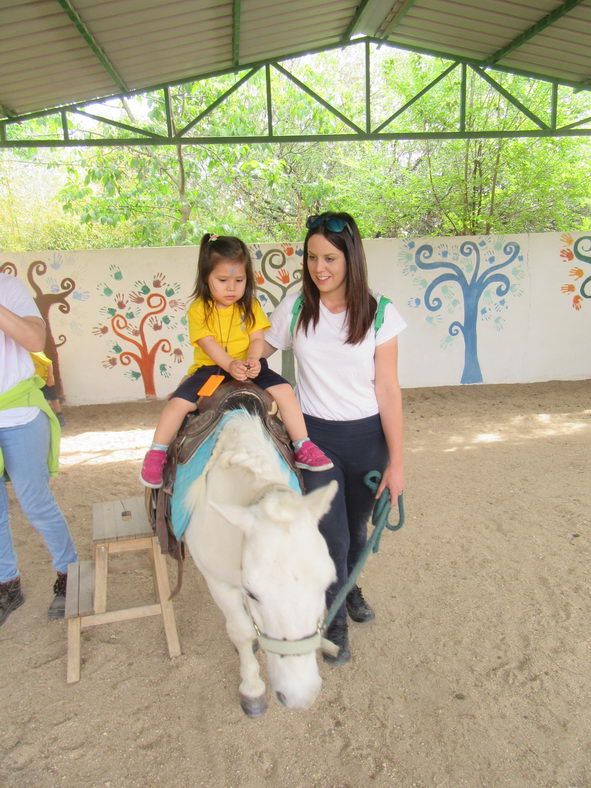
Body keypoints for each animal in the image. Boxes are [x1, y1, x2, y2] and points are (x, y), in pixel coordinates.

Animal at [184, 410, 338, 716]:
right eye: (254, 593)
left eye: (328, 584)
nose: (299, 695)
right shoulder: (218, 582)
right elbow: (241, 632)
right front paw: (252, 688)